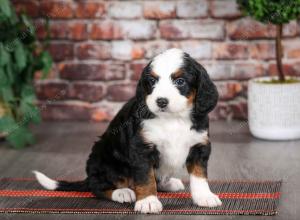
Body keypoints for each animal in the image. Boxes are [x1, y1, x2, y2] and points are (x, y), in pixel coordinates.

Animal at [34, 47, 223, 213]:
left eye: (180, 81)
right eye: (152, 81)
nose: (161, 101)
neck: (173, 119)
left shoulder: (199, 145)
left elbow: (199, 176)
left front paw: (204, 196)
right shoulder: (141, 148)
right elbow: (145, 177)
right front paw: (148, 201)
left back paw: (168, 183)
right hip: (104, 159)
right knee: (98, 186)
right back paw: (122, 192)